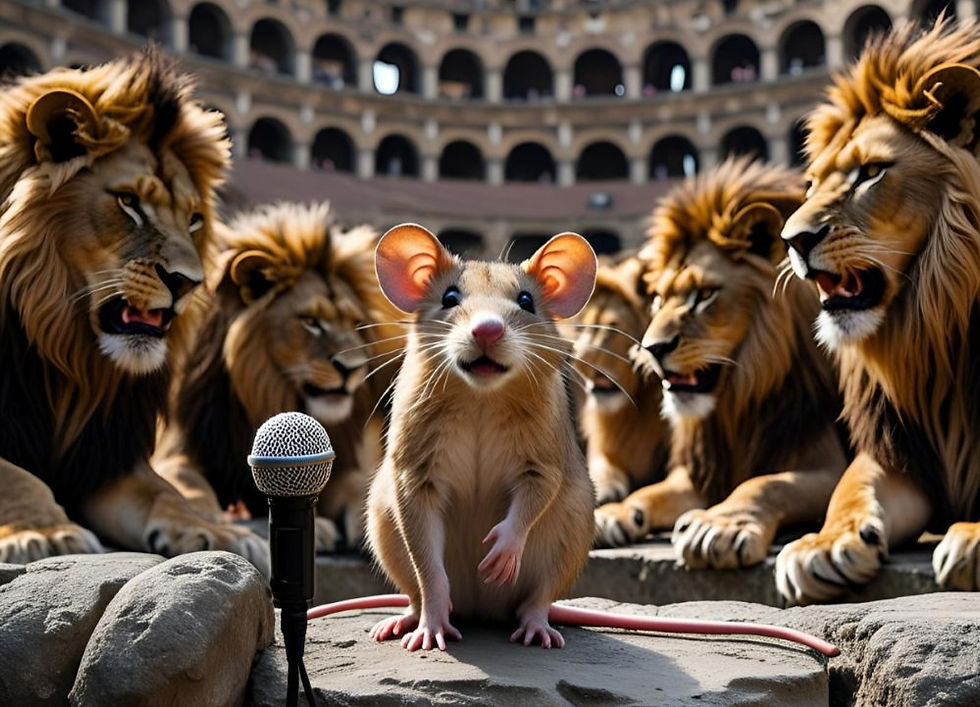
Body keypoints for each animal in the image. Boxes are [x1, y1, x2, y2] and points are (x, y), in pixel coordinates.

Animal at [0, 49, 267, 570]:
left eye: (193, 218)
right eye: (128, 202)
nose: (189, 283)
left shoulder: (104, 455)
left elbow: (164, 493)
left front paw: (217, 531)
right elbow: (15, 476)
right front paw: (44, 531)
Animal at [154, 201, 402, 552]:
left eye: (355, 323)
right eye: (311, 321)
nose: (354, 367)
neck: (267, 396)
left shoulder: (334, 459)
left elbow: (357, 483)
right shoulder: (180, 445)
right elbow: (184, 481)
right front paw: (204, 524)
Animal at [594, 158, 849, 571]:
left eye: (704, 295)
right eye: (659, 298)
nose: (650, 348)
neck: (736, 401)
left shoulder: (827, 466)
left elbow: (766, 483)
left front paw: (721, 526)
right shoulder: (699, 474)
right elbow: (650, 492)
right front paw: (615, 513)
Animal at [776, 19, 980, 603]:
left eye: (871, 172)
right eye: (811, 183)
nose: (792, 240)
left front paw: (972, 539)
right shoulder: (900, 447)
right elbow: (851, 485)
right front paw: (823, 544)